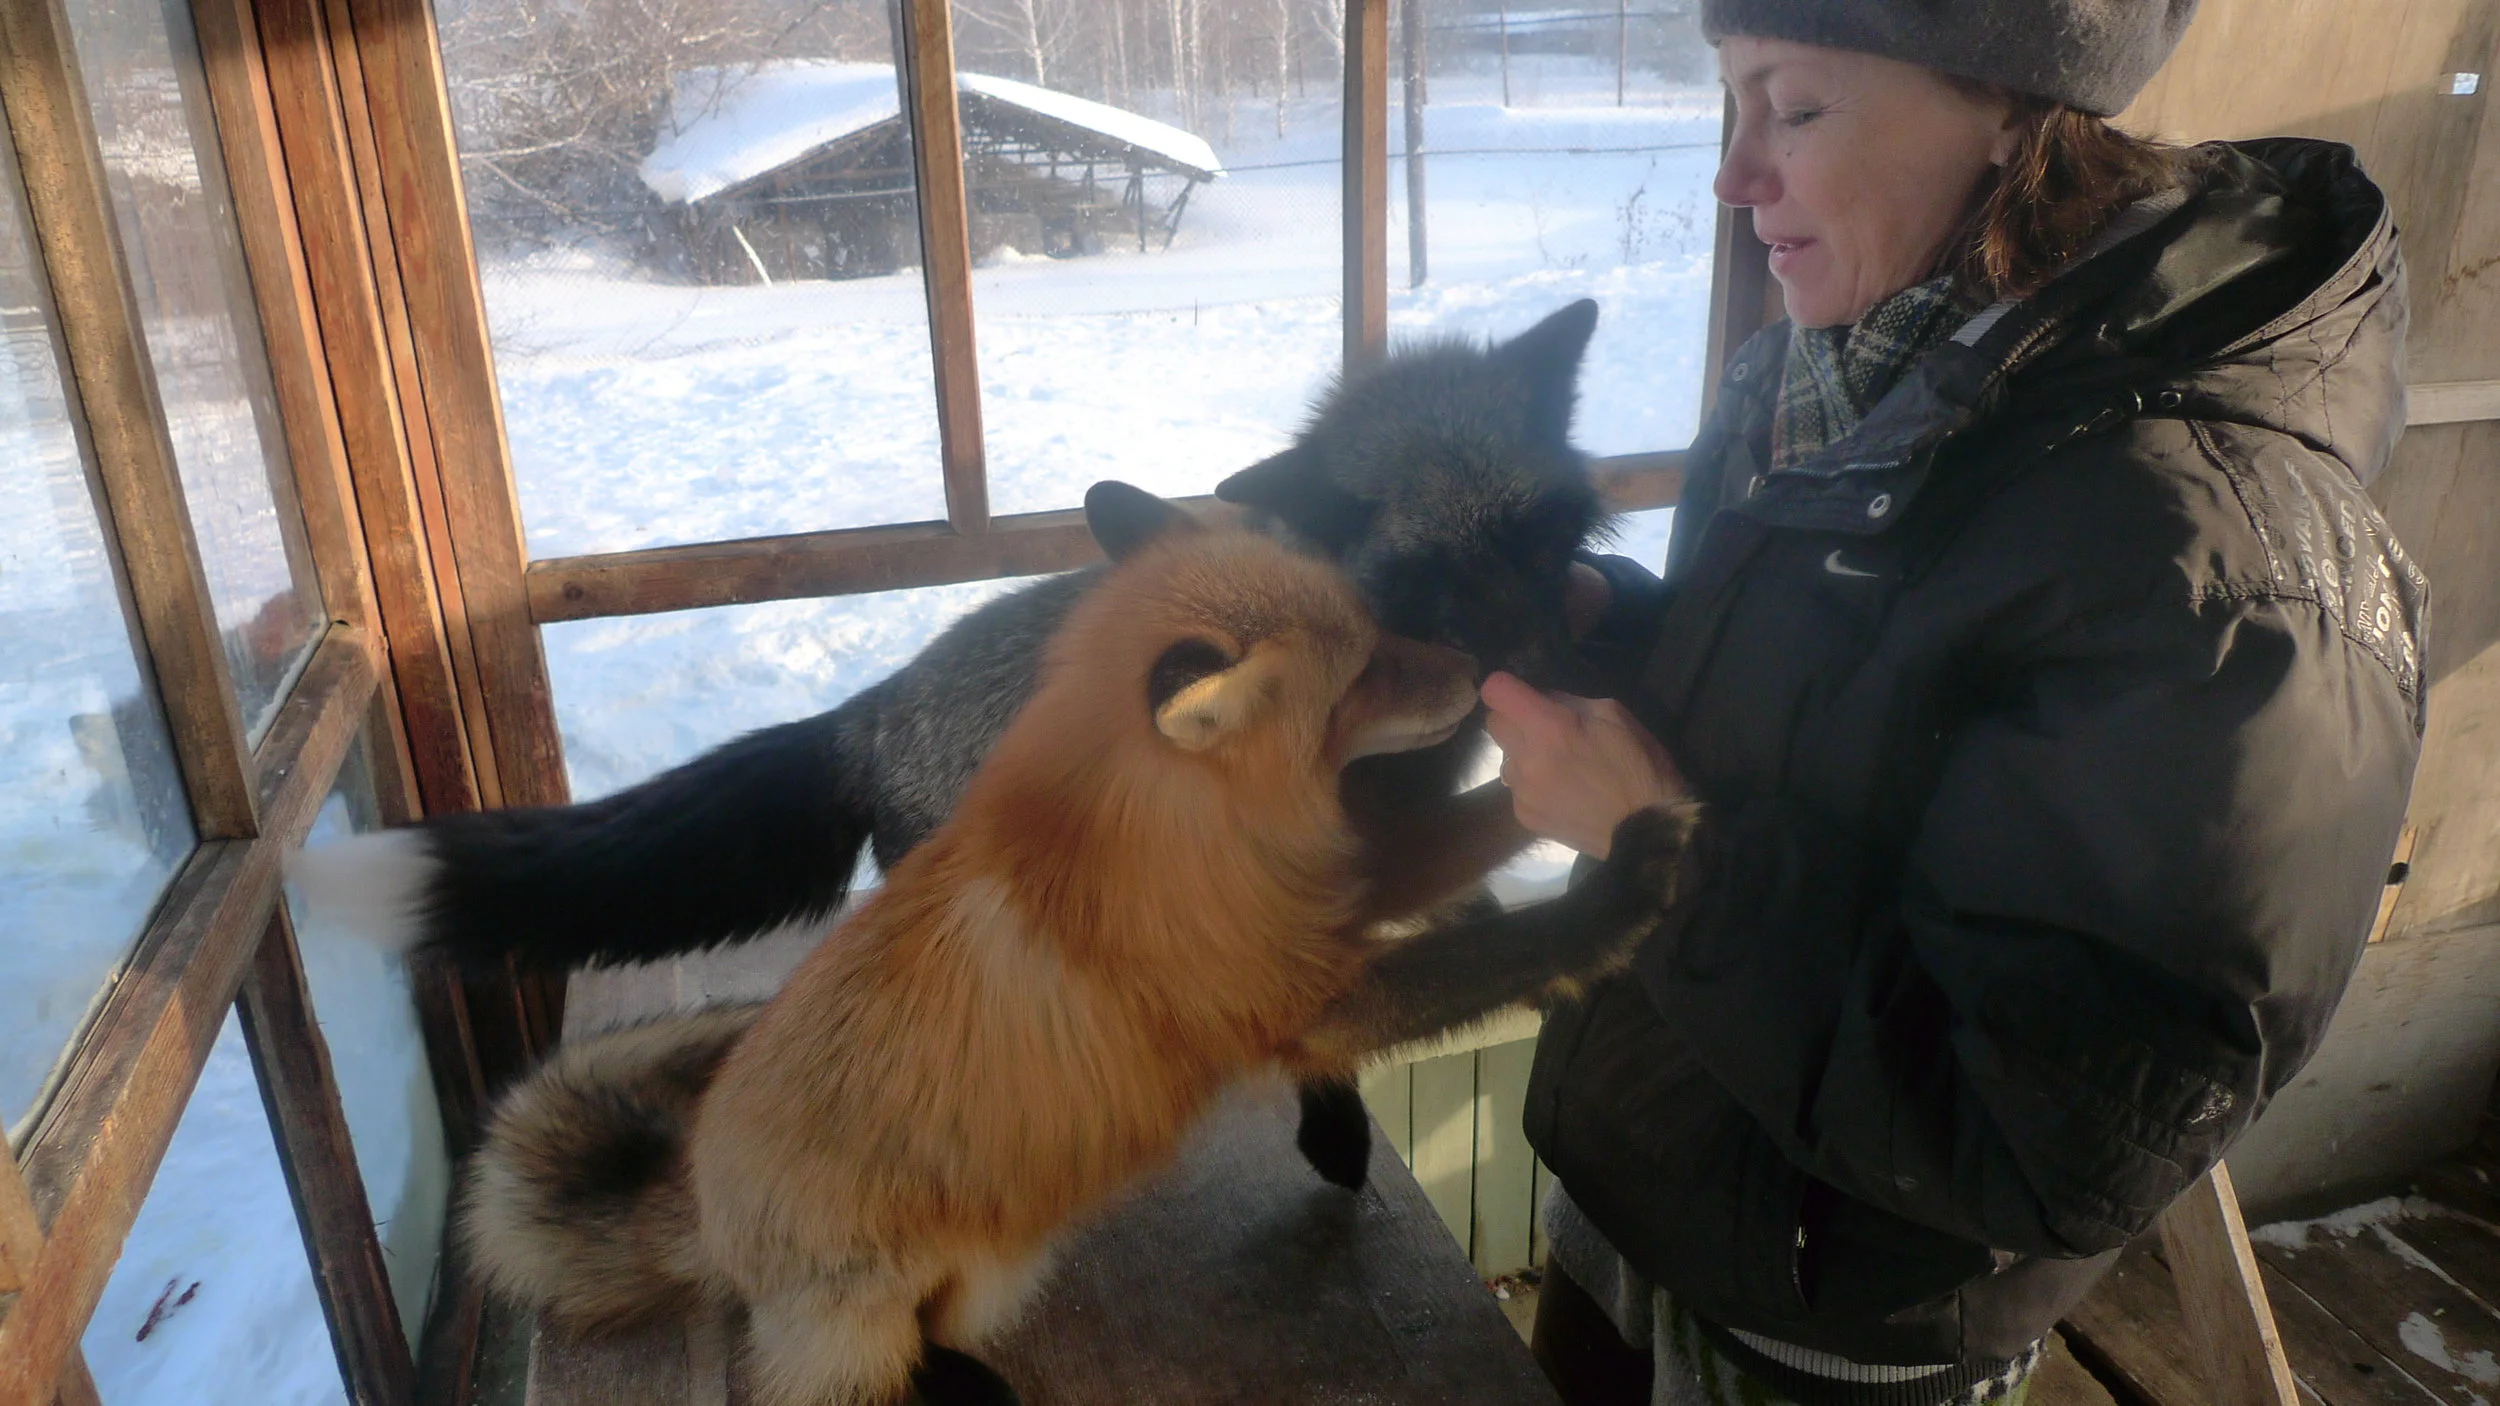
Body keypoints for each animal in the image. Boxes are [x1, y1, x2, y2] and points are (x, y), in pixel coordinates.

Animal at [460, 501, 1701, 1406]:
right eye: (1359, 671)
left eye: (1381, 627)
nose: (1474, 666)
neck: (1193, 846)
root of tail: (704, 1196)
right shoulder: (1300, 1001)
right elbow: (1505, 950)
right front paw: (1628, 875)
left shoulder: (1345, 893)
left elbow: (1484, 824)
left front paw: (1618, 771)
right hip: (865, 1304)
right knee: (838, 1379)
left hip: (993, 1261)